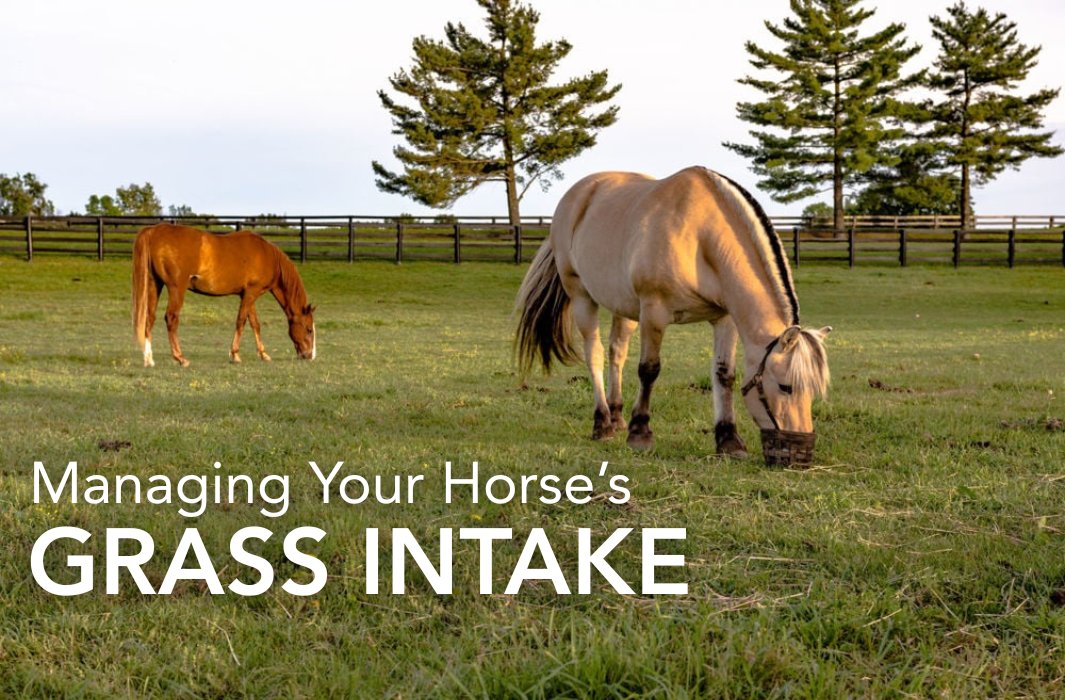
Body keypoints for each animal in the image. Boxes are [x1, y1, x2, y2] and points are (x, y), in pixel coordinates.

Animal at [132, 223, 316, 368]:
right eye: (309, 329)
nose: (310, 356)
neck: (267, 255)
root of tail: (154, 231)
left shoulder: (247, 295)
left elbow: (254, 324)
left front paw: (263, 354)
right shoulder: (251, 293)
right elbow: (241, 321)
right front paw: (235, 355)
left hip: (155, 284)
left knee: (149, 318)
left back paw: (149, 360)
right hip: (176, 289)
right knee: (171, 318)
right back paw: (180, 358)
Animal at [514, 166, 831, 466]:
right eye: (785, 386)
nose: (801, 454)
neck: (700, 237)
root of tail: (577, 195)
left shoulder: (724, 319)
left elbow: (724, 374)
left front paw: (729, 440)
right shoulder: (654, 312)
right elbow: (649, 369)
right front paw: (640, 434)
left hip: (625, 307)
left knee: (617, 353)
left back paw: (617, 418)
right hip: (582, 297)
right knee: (594, 353)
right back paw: (602, 423)